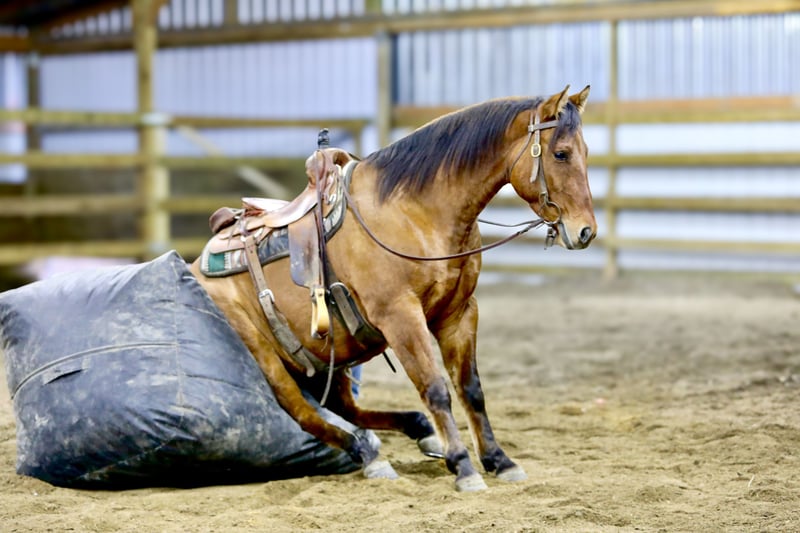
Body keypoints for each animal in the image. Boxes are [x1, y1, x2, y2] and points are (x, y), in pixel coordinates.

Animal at [189, 85, 596, 491]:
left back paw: (417, 432)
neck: (414, 211)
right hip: (267, 358)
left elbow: (471, 389)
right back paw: (370, 455)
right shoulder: (400, 316)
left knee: (345, 407)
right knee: (304, 413)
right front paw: (464, 466)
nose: (586, 231)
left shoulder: (459, 312)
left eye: (586, 152)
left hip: (328, 357)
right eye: (560, 153)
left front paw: (500, 460)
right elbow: (436, 389)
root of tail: (197, 266)